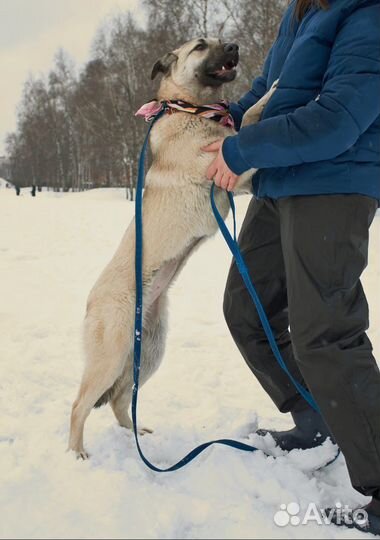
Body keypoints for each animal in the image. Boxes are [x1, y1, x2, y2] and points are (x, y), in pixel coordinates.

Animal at [68, 37, 276, 460]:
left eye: (217, 38)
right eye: (200, 46)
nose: (234, 45)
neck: (189, 108)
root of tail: (92, 303)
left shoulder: (236, 177)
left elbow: (248, 123)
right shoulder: (228, 165)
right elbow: (253, 119)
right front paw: (276, 87)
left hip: (149, 352)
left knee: (119, 401)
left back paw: (138, 435)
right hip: (111, 356)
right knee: (79, 406)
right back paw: (78, 453)